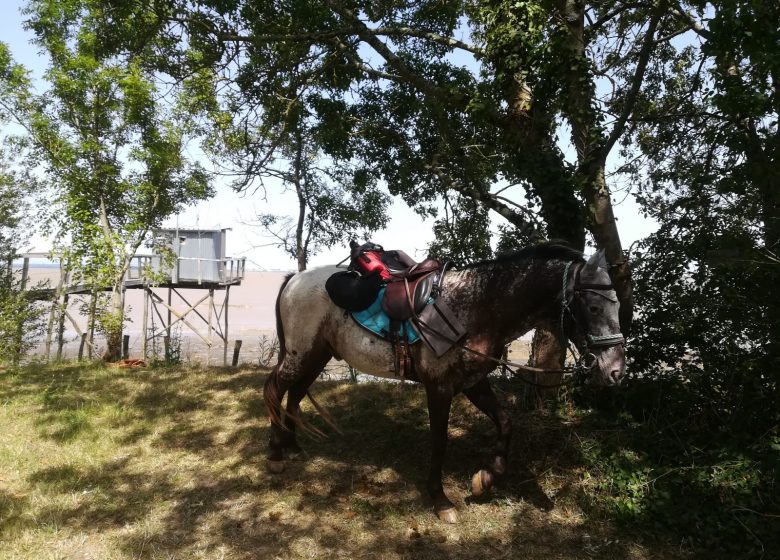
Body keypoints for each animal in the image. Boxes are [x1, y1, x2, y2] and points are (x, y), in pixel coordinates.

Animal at [266, 243, 624, 524]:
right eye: (593, 306)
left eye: (618, 305)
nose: (616, 371)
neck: (478, 306)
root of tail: (294, 279)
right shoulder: (439, 387)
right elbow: (439, 441)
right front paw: (440, 501)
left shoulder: (473, 381)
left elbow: (505, 422)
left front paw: (484, 479)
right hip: (300, 353)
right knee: (275, 388)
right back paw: (275, 454)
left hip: (317, 354)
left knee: (295, 393)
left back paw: (293, 447)